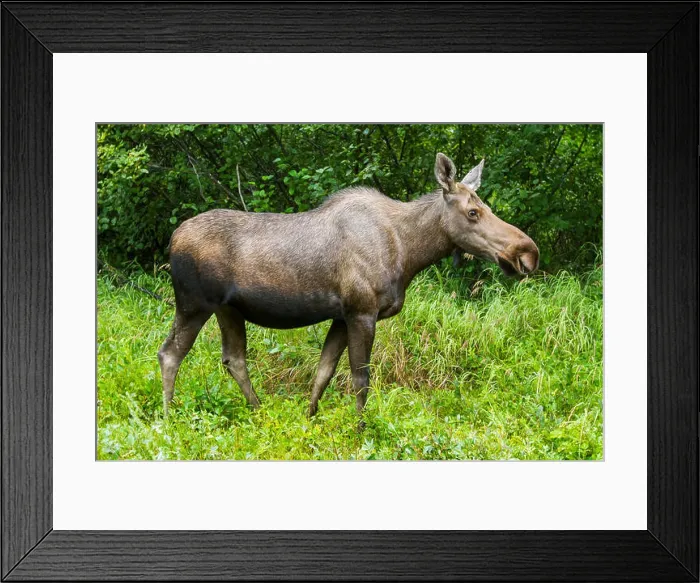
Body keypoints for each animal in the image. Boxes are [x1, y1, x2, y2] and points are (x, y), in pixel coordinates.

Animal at [158, 153, 539, 427]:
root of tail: (172, 238)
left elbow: (323, 373)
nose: (527, 253)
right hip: (194, 303)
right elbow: (360, 379)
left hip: (228, 309)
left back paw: (259, 412)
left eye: (486, 207)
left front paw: (308, 420)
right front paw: (359, 429)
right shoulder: (361, 311)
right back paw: (168, 418)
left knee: (233, 358)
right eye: (473, 212)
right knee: (170, 353)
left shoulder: (341, 316)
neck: (410, 253)